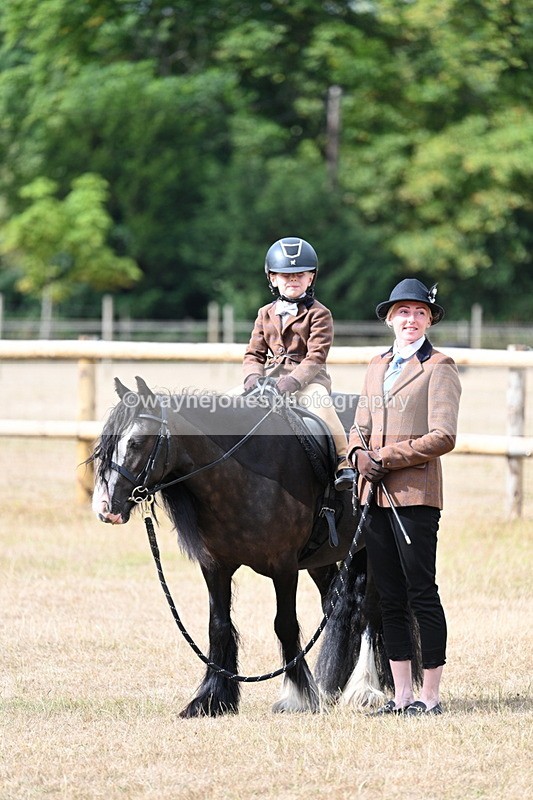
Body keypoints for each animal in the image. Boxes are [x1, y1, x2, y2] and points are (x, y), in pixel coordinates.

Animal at [90, 376, 402, 717]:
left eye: (136, 442)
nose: (105, 508)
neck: (245, 472)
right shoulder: (215, 567)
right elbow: (218, 626)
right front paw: (211, 698)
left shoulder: (284, 567)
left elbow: (285, 625)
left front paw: (297, 696)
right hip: (324, 560)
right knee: (337, 607)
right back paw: (331, 685)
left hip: (368, 551)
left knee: (366, 612)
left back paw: (364, 688)